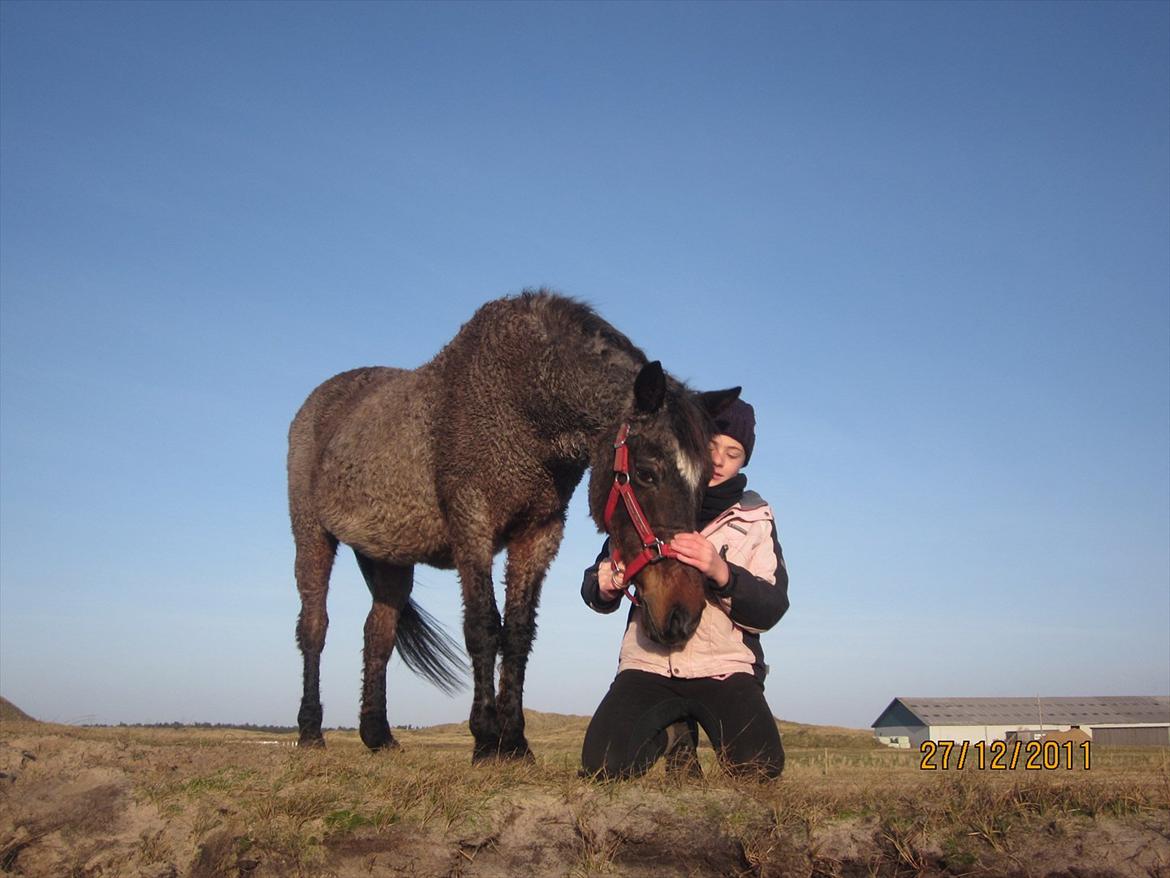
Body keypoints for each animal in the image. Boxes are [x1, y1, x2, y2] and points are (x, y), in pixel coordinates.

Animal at [286, 292, 734, 758]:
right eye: (646, 473)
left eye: (705, 480)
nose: (684, 614)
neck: (521, 404)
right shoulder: (473, 525)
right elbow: (483, 625)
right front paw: (486, 738)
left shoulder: (539, 532)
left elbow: (518, 631)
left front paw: (514, 741)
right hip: (312, 535)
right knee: (314, 627)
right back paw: (310, 732)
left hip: (390, 559)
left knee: (379, 633)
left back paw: (378, 735)